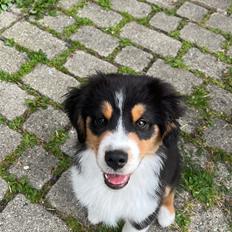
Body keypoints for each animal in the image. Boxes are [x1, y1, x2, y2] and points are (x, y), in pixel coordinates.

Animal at [64, 73, 185, 231]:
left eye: (142, 123)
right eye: (100, 120)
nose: (115, 159)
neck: (116, 191)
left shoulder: (142, 214)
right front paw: (95, 213)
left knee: (170, 189)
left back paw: (167, 214)